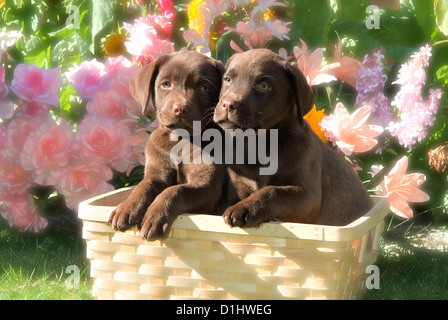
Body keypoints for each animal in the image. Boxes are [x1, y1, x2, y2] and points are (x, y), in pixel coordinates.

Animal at [110, 50, 226, 240]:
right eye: (166, 85)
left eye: (204, 88)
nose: (180, 109)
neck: (180, 139)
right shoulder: (157, 173)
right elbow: (143, 186)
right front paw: (127, 207)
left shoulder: (209, 186)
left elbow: (176, 191)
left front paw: (155, 216)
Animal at [214, 48, 372, 226]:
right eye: (227, 80)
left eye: (263, 86)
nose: (228, 104)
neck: (258, 145)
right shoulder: (238, 186)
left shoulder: (308, 196)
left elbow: (272, 191)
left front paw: (244, 208)